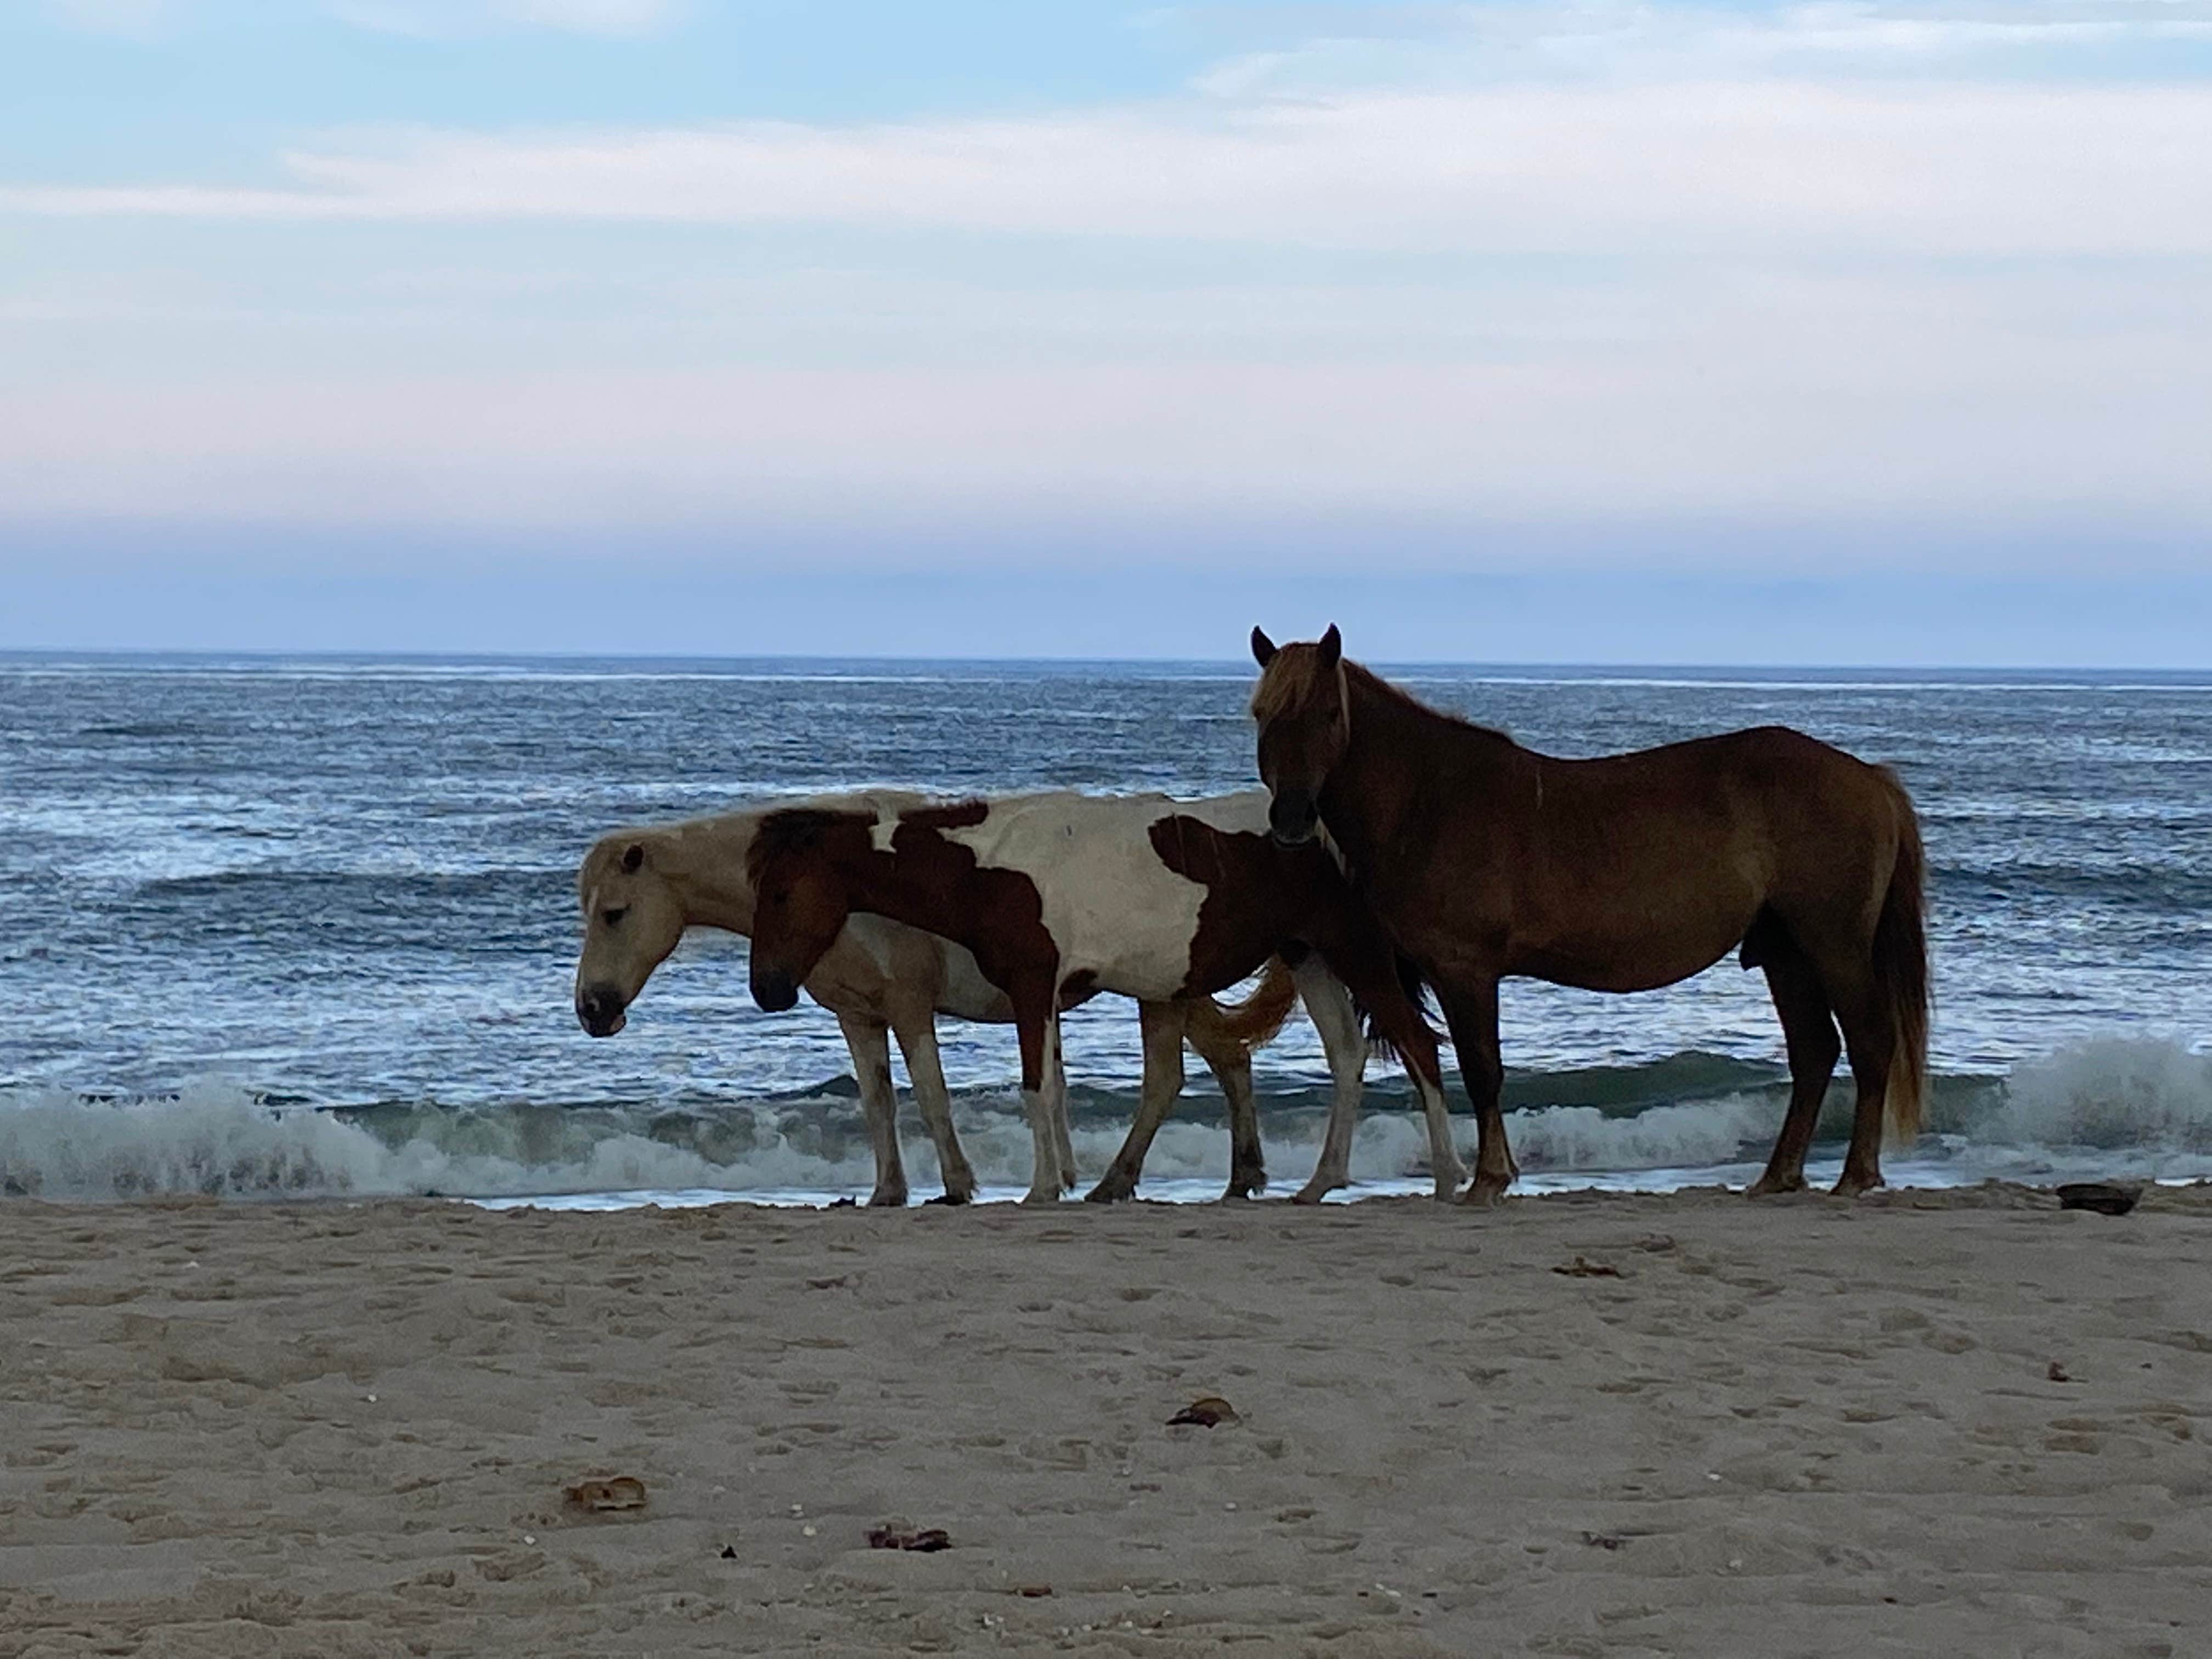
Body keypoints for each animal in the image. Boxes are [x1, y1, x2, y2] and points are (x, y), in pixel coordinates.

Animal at [573, 794, 1299, 1206]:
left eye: (614, 914)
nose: (592, 1010)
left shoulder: (908, 1006)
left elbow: (929, 1095)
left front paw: (957, 1185)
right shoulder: (858, 1016)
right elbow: (877, 1103)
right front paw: (886, 1191)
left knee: (1213, 1064)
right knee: (1223, 1064)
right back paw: (1237, 1177)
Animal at [741, 789, 1466, 1205]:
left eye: (780, 893)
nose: (767, 990)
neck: (990, 866)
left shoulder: (1034, 987)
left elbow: (1037, 1089)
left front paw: (1040, 1190)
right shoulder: (1045, 996)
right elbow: (1054, 1091)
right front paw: (1059, 1182)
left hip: (1354, 953)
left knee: (1419, 1046)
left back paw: (1448, 1175)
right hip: (1310, 958)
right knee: (1346, 1058)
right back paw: (1318, 1183)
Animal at [1248, 625, 1928, 1202]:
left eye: (1329, 714)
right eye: (1262, 715)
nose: (1291, 818)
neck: (1430, 800)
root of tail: (1869, 778)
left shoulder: (1467, 972)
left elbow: (1482, 1071)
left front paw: (1490, 1179)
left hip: (1834, 946)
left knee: (1869, 1043)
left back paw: (1856, 1176)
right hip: (1786, 953)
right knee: (1813, 1053)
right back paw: (1778, 1176)